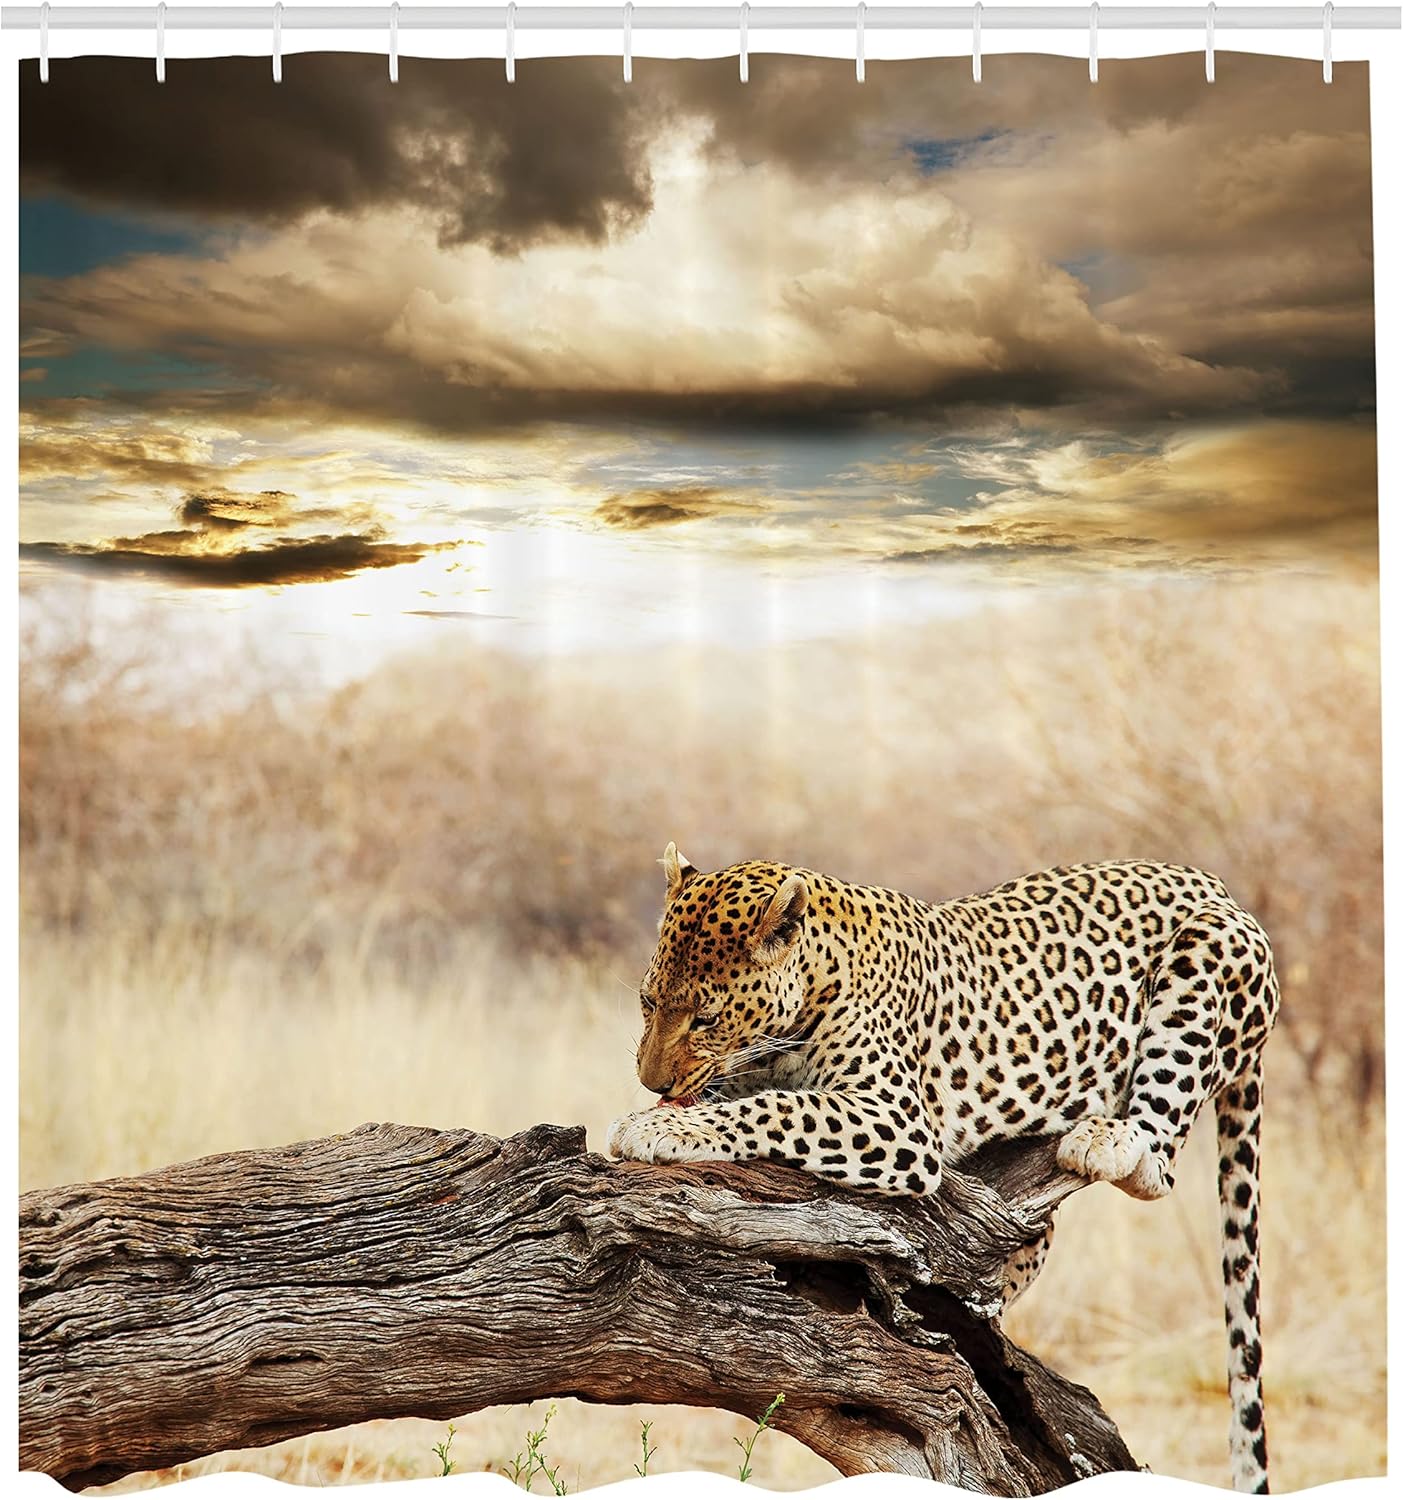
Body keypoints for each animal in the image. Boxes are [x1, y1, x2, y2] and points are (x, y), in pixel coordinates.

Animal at [607, 844, 1280, 1493]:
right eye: (647, 1001)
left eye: (705, 1019)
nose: (651, 1081)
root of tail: (1216, 884)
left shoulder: (895, 1118)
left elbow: (778, 1108)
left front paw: (657, 1128)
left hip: (1205, 961)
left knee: (1158, 1162)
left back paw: (1106, 1139)